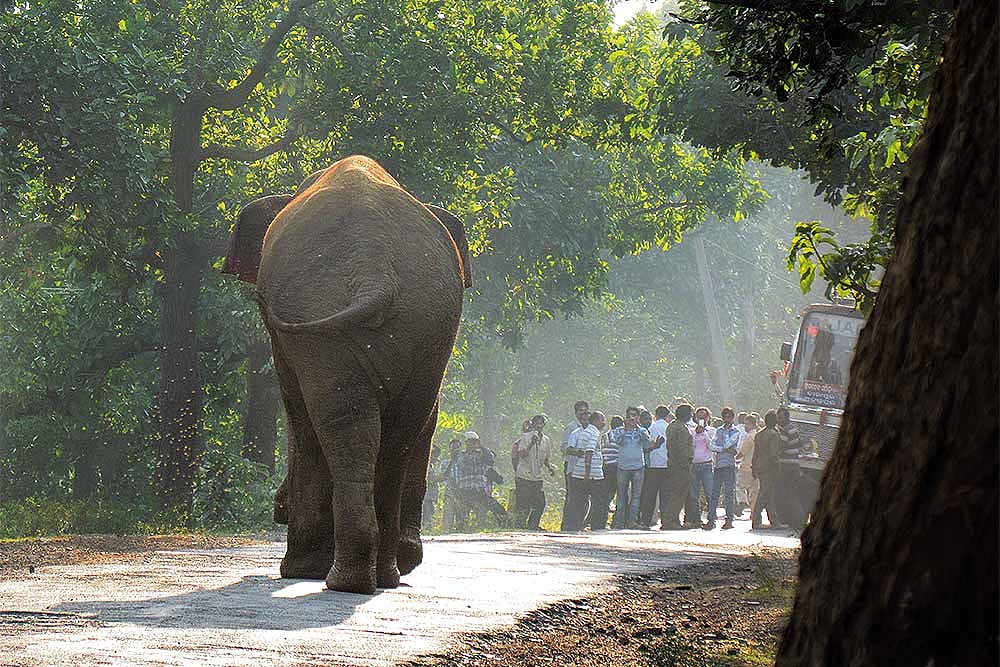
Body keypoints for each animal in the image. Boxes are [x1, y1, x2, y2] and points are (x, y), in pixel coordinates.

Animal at [221, 155, 471, 594]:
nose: (277, 510)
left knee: (332, 418)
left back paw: (328, 576)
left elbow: (296, 410)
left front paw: (300, 570)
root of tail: (375, 268)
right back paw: (380, 575)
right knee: (394, 430)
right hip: (423, 323)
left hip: (321, 318)